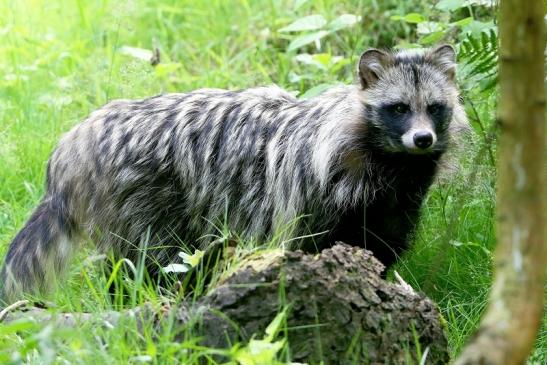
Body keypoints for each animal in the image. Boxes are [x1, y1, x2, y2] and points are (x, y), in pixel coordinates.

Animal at [1, 44, 470, 302]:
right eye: (398, 108)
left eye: (434, 107)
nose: (422, 139)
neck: (392, 165)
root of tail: (76, 141)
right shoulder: (315, 192)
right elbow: (307, 247)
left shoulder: (393, 205)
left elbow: (381, 250)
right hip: (139, 197)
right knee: (144, 262)